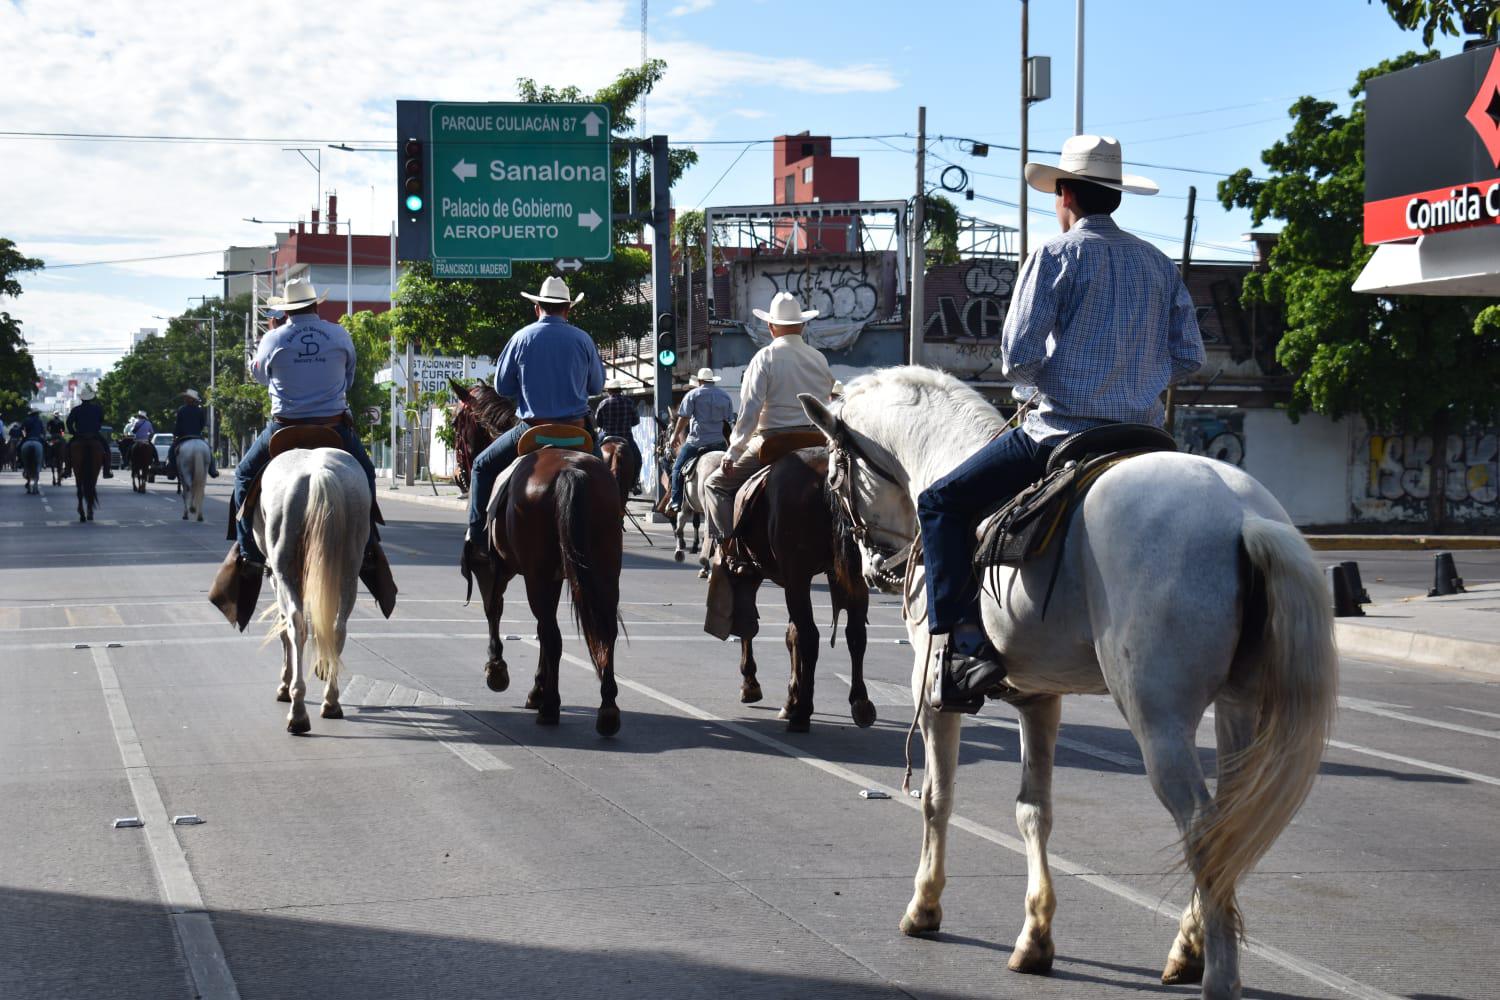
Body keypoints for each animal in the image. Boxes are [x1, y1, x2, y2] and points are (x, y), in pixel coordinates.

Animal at [253, 449, 367, 740]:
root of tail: (319, 473)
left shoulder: (278, 577)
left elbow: (285, 630)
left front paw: (284, 685)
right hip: (349, 568)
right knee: (338, 626)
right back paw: (331, 701)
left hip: (284, 569)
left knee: (295, 624)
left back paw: (298, 712)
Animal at [450, 379, 627, 731]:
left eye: (455, 423)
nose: (459, 475)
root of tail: (570, 471)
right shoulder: (557, 576)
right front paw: (536, 686)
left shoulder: (492, 568)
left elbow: (494, 610)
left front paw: (498, 670)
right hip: (603, 569)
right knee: (603, 632)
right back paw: (607, 708)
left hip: (537, 574)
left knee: (551, 634)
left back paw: (550, 707)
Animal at [708, 446, 876, 734]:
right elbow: (791, 635)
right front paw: (790, 697)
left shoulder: (756, 574)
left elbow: (749, 626)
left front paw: (752, 683)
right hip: (853, 574)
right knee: (855, 634)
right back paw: (860, 702)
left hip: (794, 575)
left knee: (811, 637)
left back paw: (802, 714)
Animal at [798, 370, 1338, 1000]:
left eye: (834, 478)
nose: (875, 568)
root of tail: (1242, 516)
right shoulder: (1039, 698)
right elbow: (1034, 811)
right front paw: (1035, 939)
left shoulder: (931, 694)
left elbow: (936, 798)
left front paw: (924, 907)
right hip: (1238, 706)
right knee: (1228, 824)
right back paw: (1189, 946)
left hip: (1159, 718)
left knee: (1205, 829)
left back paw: (1218, 975)